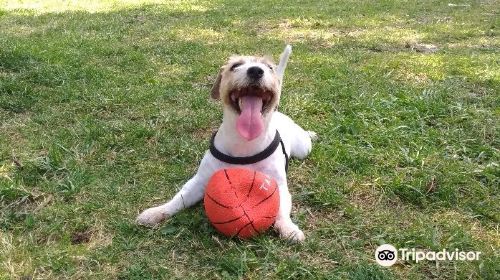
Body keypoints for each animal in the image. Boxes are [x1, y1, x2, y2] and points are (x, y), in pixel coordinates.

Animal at [137, 44, 316, 242]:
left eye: (269, 67)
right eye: (235, 66)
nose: (256, 71)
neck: (243, 141)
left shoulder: (279, 186)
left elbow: (282, 210)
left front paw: (288, 228)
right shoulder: (199, 181)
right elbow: (179, 199)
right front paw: (157, 212)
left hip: (303, 148)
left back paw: (310, 133)